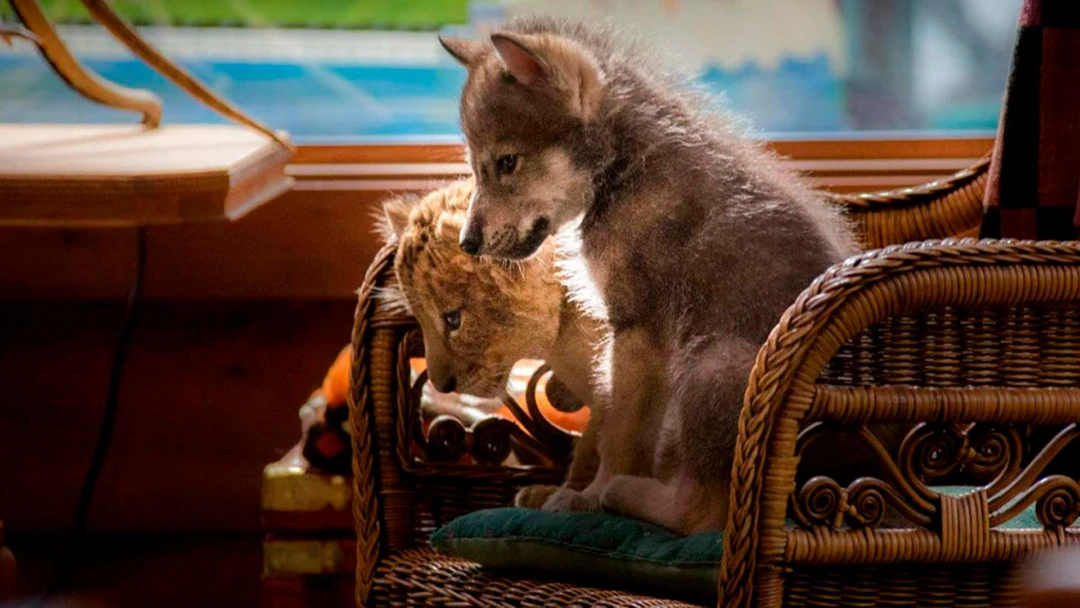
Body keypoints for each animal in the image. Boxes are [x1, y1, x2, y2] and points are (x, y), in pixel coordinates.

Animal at [440, 17, 856, 533]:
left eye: (507, 163)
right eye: (476, 167)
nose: (467, 243)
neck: (622, 171)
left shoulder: (638, 334)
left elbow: (620, 437)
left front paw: (587, 498)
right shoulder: (618, 343)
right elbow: (603, 427)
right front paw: (558, 493)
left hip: (711, 367)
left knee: (701, 513)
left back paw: (626, 495)